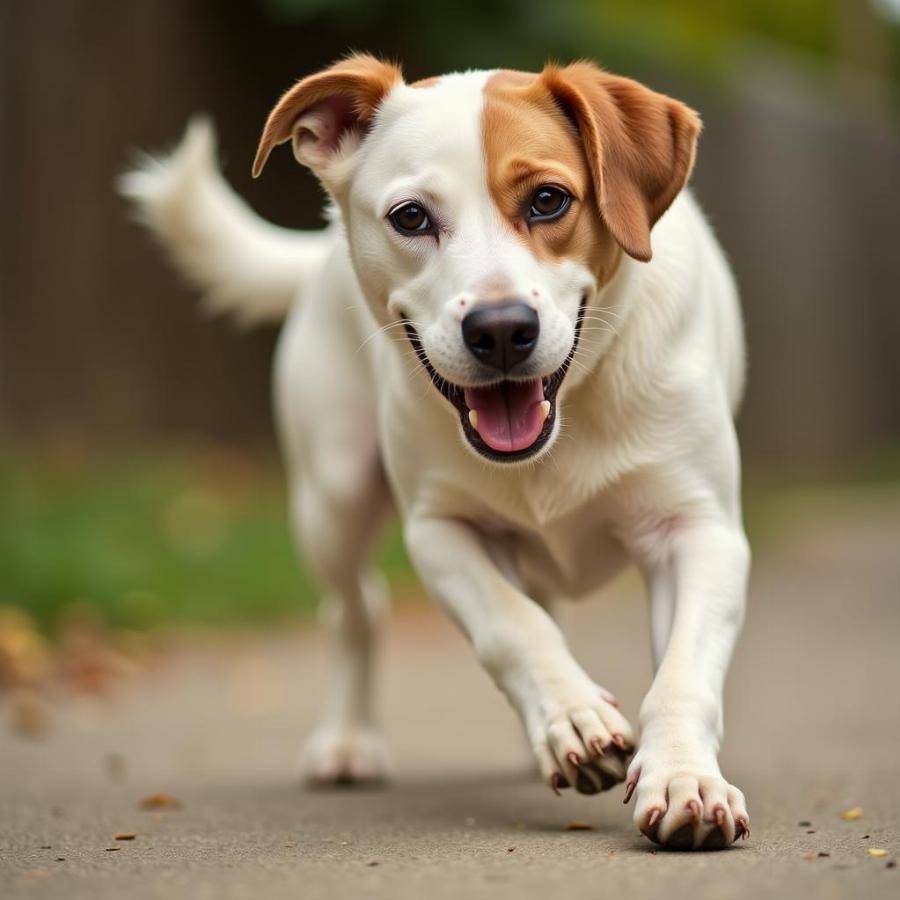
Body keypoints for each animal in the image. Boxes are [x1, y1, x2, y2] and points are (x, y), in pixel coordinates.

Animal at [121, 52, 752, 848]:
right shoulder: (441, 530)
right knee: (356, 612)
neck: (565, 420)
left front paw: (683, 776)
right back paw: (351, 740)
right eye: (411, 218)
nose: (502, 328)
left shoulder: (698, 530)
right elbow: (512, 626)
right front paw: (572, 716)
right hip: (334, 501)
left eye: (549, 200)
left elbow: (683, 670)